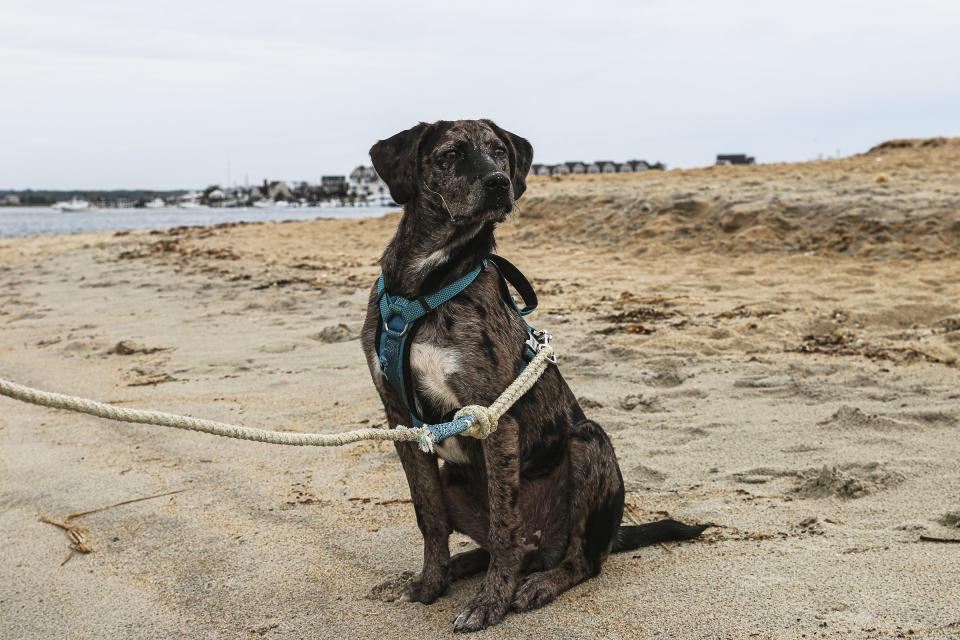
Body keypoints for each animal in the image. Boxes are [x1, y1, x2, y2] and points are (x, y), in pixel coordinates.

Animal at [360, 119, 704, 632]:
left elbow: (506, 526)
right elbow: (428, 515)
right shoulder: (400, 419)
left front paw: (490, 603)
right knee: (513, 546)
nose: (498, 183)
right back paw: (464, 566)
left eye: (499, 151)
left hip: (589, 443)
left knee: (576, 559)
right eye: (450, 154)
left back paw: (538, 583)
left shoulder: (493, 417)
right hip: (454, 478)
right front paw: (431, 584)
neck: (426, 285)